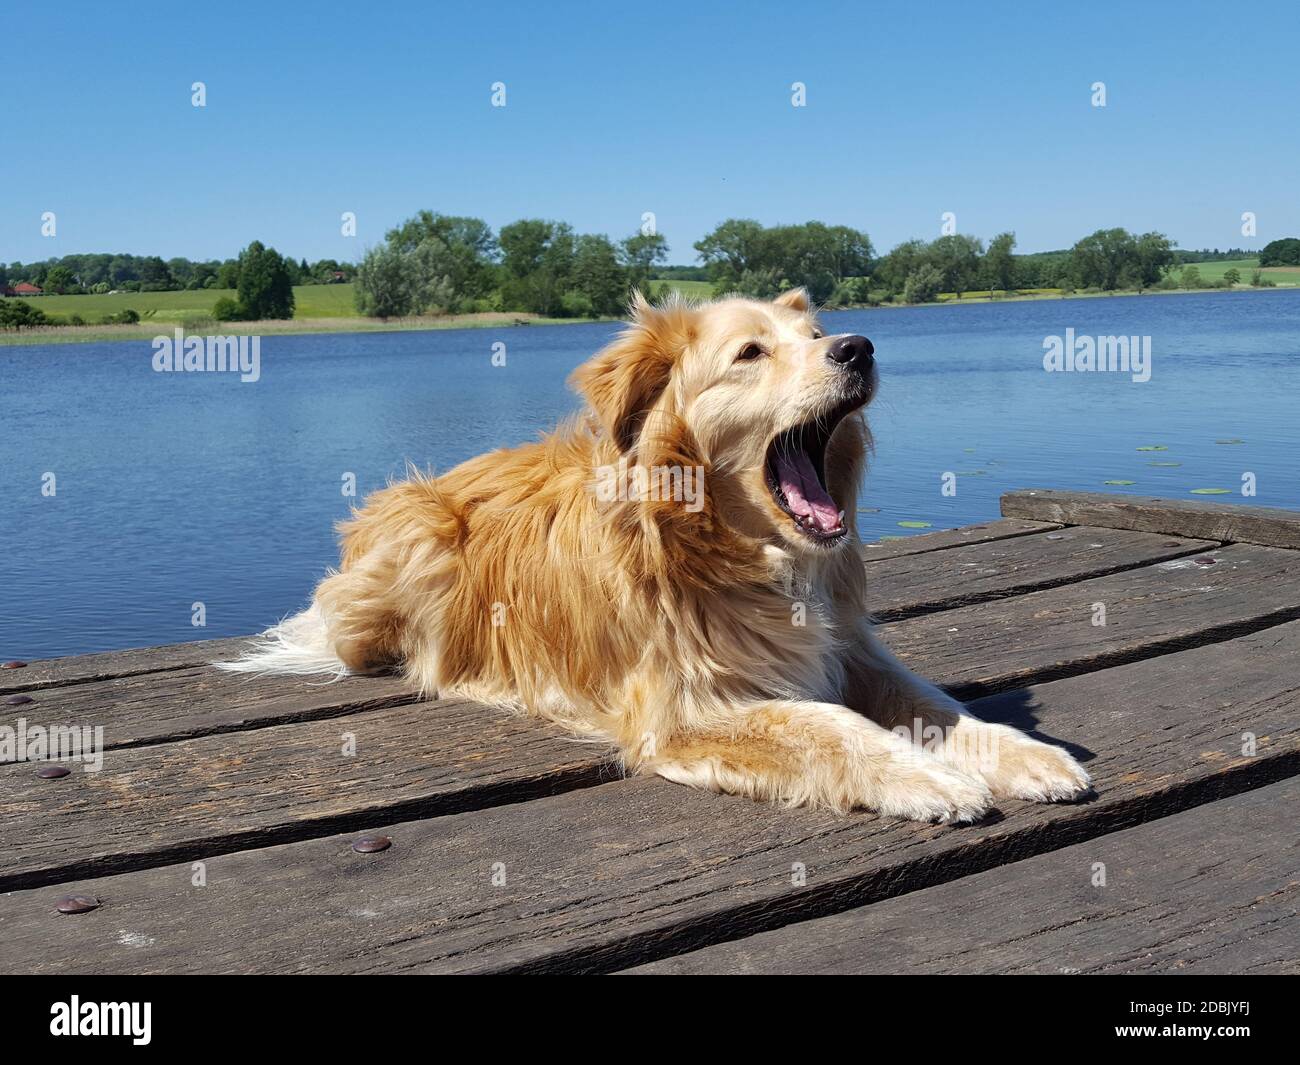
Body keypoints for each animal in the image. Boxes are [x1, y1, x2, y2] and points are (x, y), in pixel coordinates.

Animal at [220, 289, 1086, 827]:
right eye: (751, 353)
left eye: (816, 337)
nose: (860, 346)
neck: (738, 553)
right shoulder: (683, 708)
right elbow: (828, 724)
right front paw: (926, 775)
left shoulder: (850, 648)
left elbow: (936, 705)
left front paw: (1026, 754)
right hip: (421, 537)